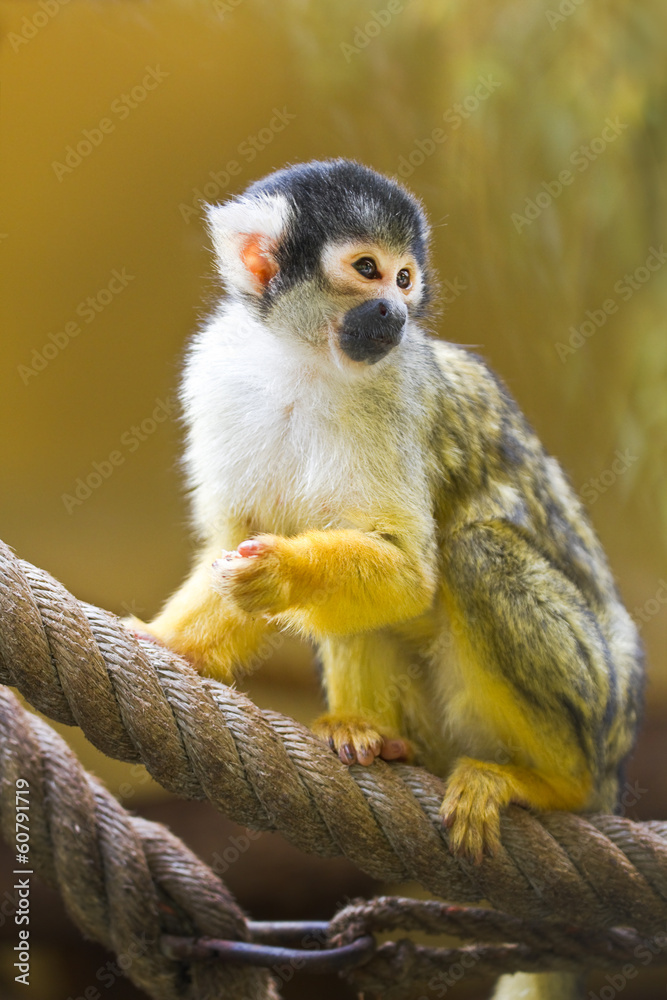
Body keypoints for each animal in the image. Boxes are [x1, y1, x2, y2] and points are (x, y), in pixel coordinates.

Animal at [130, 158, 643, 881]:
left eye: (405, 279)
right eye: (367, 269)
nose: (396, 311)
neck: (305, 359)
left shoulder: (396, 390)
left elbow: (406, 570)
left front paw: (279, 572)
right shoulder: (218, 373)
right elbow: (234, 544)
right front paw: (168, 643)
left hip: (595, 703)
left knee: (475, 553)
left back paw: (547, 784)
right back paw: (370, 733)